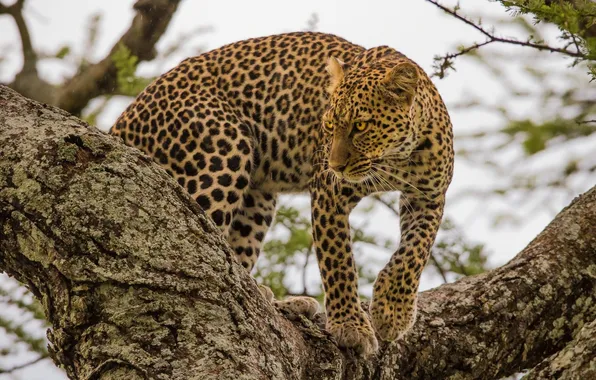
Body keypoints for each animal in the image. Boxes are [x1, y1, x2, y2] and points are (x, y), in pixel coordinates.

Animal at [110, 32, 452, 356]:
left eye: (361, 126)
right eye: (329, 126)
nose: (335, 165)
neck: (395, 157)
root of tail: (120, 124)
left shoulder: (430, 198)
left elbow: (414, 252)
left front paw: (392, 312)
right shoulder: (329, 193)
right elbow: (338, 261)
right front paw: (351, 326)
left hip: (258, 199)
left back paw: (279, 300)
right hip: (224, 150)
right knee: (199, 248)